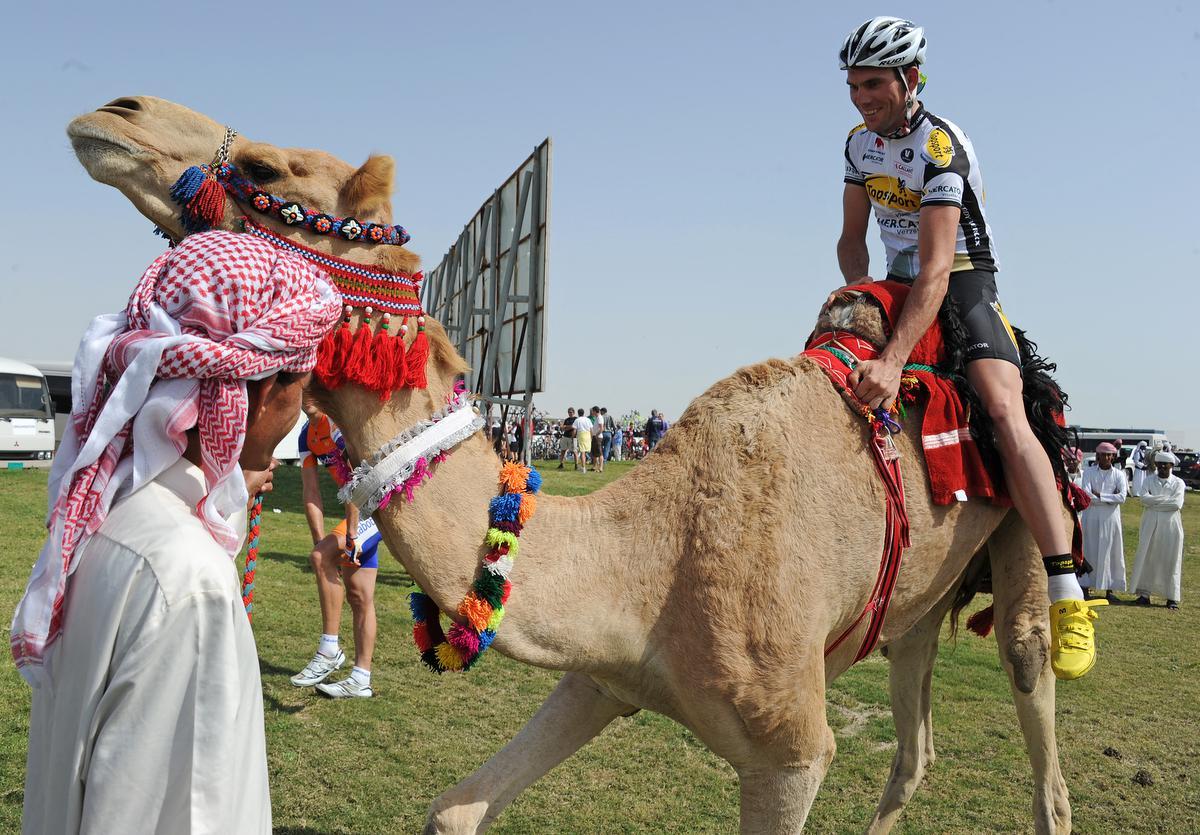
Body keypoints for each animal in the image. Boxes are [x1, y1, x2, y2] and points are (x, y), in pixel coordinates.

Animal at [68, 94, 1070, 830]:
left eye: (267, 168)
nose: (113, 113)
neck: (649, 556)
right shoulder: (602, 675)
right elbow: (453, 810)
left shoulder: (792, 751)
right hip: (918, 595)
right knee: (913, 743)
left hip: (1022, 520)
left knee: (1036, 713)